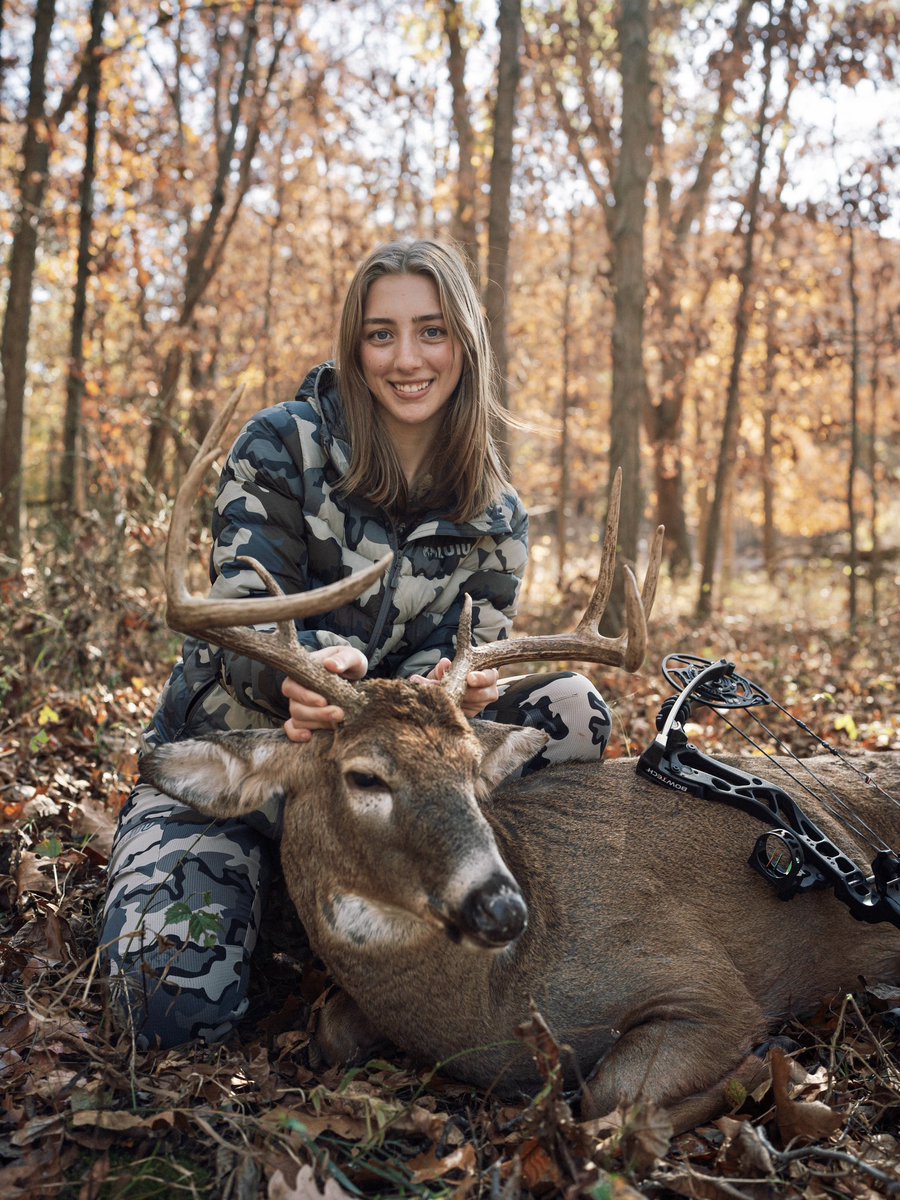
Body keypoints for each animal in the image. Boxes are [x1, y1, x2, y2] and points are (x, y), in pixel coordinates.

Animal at [141, 392, 900, 1134]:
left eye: (470, 769)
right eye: (364, 775)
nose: (503, 907)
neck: (491, 1005)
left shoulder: (707, 984)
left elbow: (609, 1098)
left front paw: (773, 1069)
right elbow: (331, 1029)